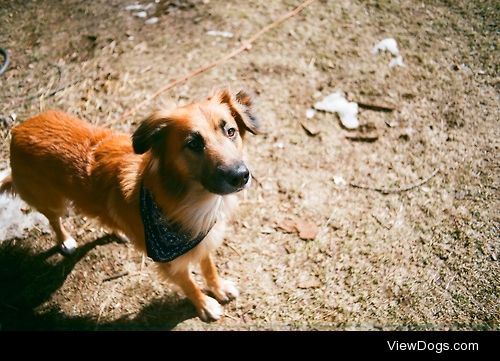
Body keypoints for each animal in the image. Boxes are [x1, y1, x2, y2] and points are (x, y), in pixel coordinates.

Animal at [2, 88, 262, 320]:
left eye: (230, 131)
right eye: (193, 144)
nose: (240, 176)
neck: (186, 198)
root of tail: (19, 128)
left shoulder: (202, 239)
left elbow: (209, 267)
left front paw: (219, 288)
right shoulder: (171, 263)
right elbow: (189, 284)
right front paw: (205, 305)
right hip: (52, 200)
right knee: (53, 219)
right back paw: (65, 240)